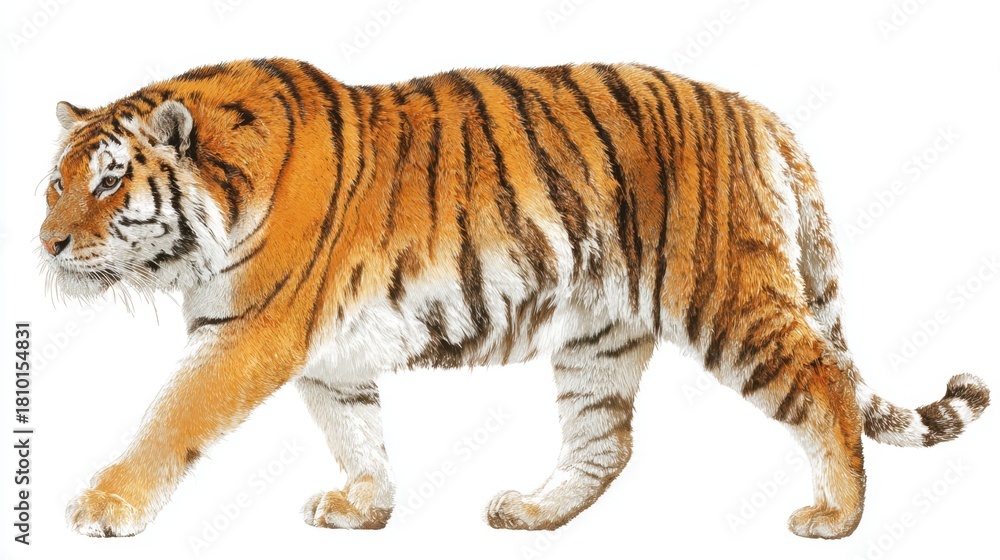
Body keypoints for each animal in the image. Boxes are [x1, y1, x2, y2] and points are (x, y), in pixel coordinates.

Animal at [41, 59, 989, 539]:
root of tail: (755, 112)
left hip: (728, 303)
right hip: (599, 338)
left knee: (824, 378)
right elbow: (355, 429)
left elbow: (172, 417)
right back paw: (533, 512)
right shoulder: (322, 354)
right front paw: (366, 507)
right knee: (607, 444)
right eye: (55, 183)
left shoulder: (248, 334)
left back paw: (837, 517)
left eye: (110, 183)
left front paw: (102, 507)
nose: (45, 244)